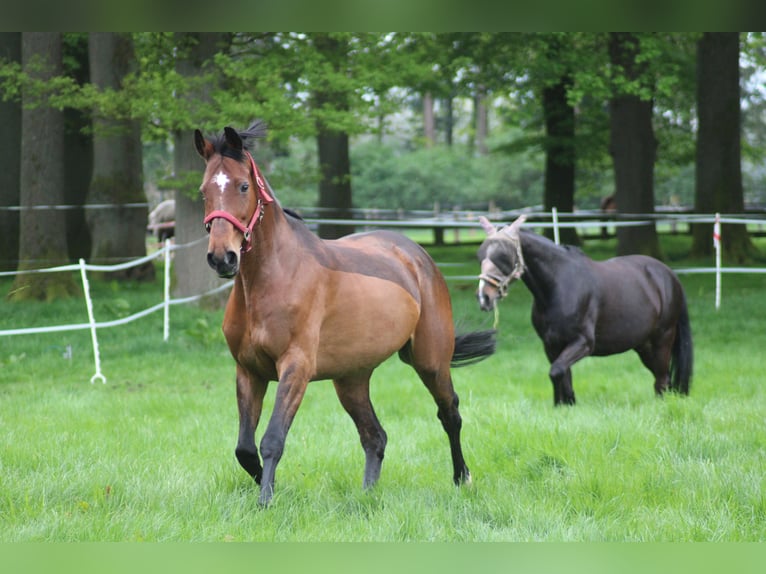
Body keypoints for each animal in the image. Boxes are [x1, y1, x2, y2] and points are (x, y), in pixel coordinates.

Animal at [194, 124, 498, 506]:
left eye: (242, 186)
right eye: (204, 190)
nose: (222, 258)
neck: (273, 278)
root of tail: (417, 255)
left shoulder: (296, 367)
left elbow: (273, 439)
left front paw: (266, 501)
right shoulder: (249, 371)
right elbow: (245, 449)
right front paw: (271, 488)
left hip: (430, 362)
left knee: (449, 414)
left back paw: (462, 479)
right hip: (352, 378)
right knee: (375, 436)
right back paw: (368, 495)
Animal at [476, 214, 692, 408]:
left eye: (503, 256)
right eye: (480, 255)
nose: (483, 297)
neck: (559, 287)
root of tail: (670, 276)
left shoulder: (583, 342)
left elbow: (556, 371)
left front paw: (568, 402)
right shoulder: (552, 345)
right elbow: (562, 374)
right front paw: (564, 405)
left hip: (662, 340)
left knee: (662, 380)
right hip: (644, 346)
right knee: (662, 379)